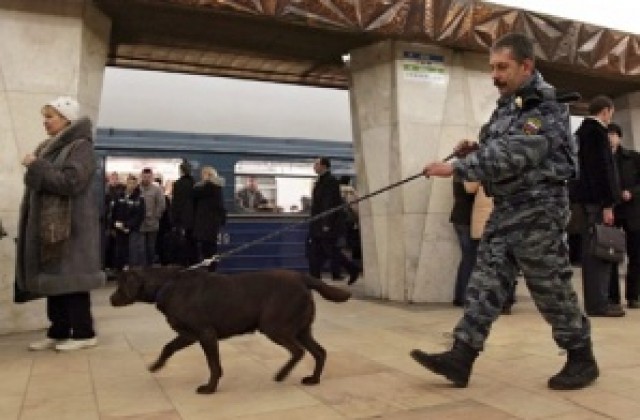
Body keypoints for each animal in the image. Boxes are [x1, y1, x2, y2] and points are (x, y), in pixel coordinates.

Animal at [110, 268, 350, 396]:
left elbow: (213, 364)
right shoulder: (188, 335)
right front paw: (156, 366)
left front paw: (210, 388)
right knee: (320, 352)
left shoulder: (205, 334)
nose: (111, 299)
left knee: (298, 351)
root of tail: (302, 277)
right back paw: (313, 379)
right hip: (301, 329)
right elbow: (167, 347)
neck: (167, 284)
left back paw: (281, 374)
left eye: (120, 285)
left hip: (275, 327)